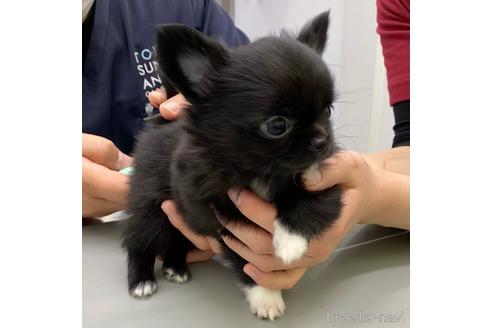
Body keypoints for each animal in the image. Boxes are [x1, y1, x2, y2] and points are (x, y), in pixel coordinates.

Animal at [122, 10, 342, 320]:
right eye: (277, 125)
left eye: (328, 111)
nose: (323, 141)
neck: (260, 172)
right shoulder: (225, 219)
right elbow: (247, 261)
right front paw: (266, 294)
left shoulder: (325, 177)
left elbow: (314, 200)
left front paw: (290, 240)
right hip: (151, 209)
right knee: (140, 241)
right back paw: (141, 280)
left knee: (179, 238)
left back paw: (175, 266)